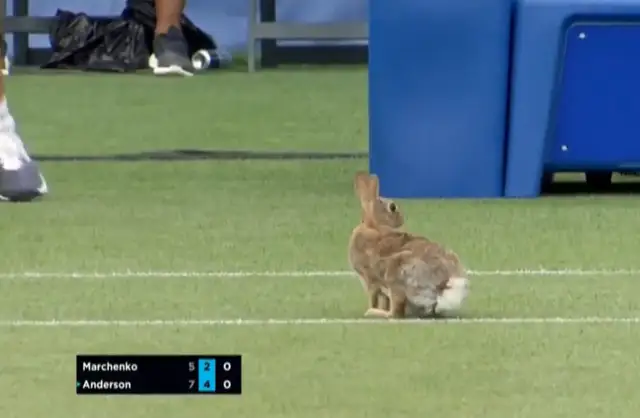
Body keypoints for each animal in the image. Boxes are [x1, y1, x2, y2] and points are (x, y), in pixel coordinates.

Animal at [347, 172, 469, 319]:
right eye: (392, 207)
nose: (401, 219)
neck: (372, 226)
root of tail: (443, 285)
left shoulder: (370, 279)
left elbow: (374, 298)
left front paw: (371, 307)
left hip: (395, 275)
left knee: (395, 312)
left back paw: (372, 313)